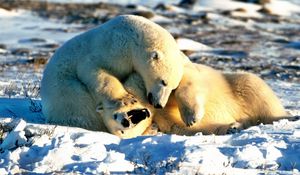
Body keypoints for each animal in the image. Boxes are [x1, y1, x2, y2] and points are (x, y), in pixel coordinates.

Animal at [41, 15, 190, 133]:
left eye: (173, 87)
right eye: (163, 81)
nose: (159, 104)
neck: (132, 39)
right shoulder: (111, 49)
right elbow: (94, 70)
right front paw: (127, 98)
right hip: (66, 92)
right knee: (81, 104)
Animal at [98, 62, 290, 137]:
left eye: (116, 114)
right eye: (121, 131)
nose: (125, 122)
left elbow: (184, 82)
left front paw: (191, 116)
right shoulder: (165, 121)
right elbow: (191, 128)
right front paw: (231, 127)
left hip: (237, 85)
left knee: (255, 90)